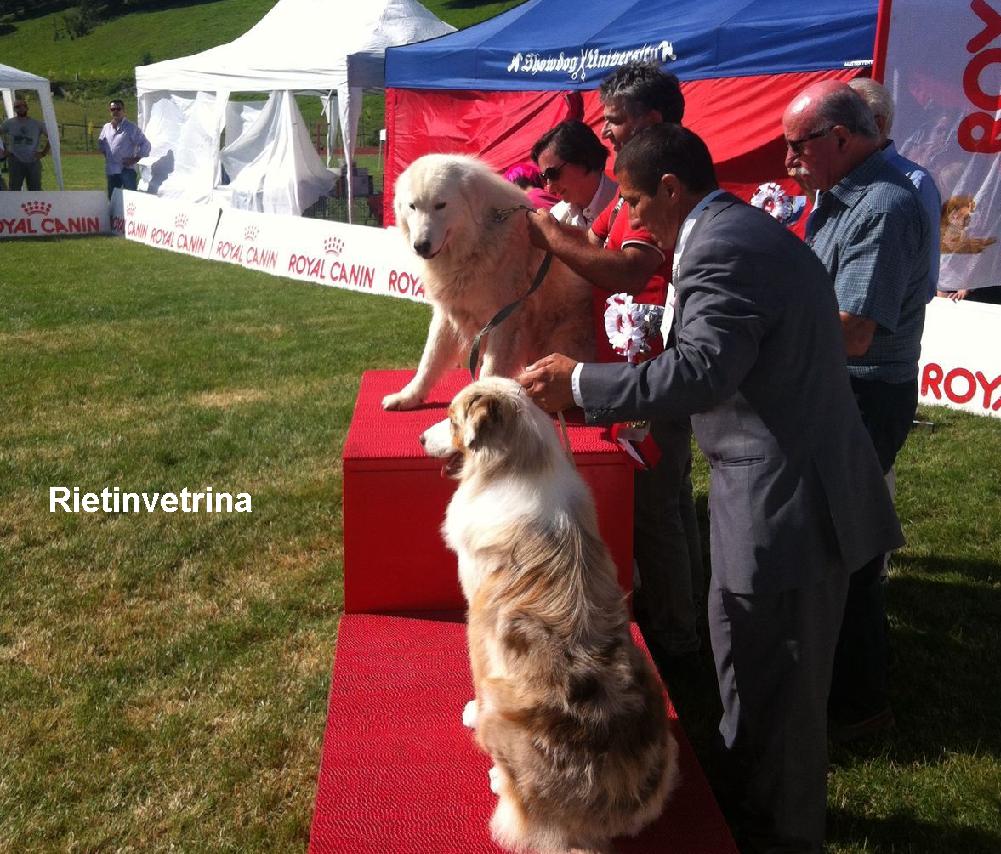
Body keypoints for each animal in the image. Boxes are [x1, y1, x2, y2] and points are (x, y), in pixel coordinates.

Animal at [378, 155, 588, 412]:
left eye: (440, 205)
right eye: (412, 206)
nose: (421, 246)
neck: (475, 243)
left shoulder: (504, 318)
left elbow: (490, 369)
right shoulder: (448, 314)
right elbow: (429, 361)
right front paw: (408, 397)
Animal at [418, 378, 676, 852]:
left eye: (451, 418)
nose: (420, 439)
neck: (514, 467)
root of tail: (605, 807)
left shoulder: (478, 618)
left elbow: (477, 670)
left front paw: (470, 710)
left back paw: (498, 779)